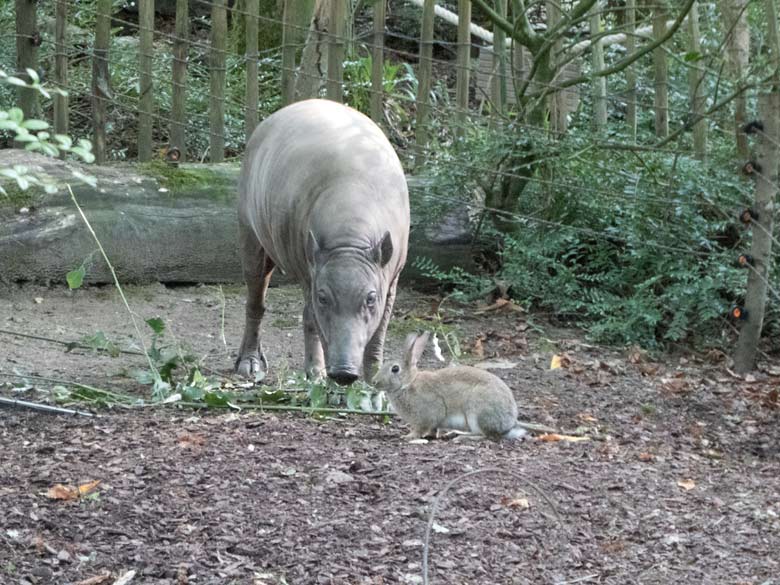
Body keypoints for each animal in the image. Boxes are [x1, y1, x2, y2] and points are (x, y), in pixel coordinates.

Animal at [374, 330, 532, 440]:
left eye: (395, 369)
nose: (374, 382)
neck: (408, 383)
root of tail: (510, 421)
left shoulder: (426, 415)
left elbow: (421, 428)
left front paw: (408, 437)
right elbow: (433, 429)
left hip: (477, 413)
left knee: (485, 435)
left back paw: (462, 437)